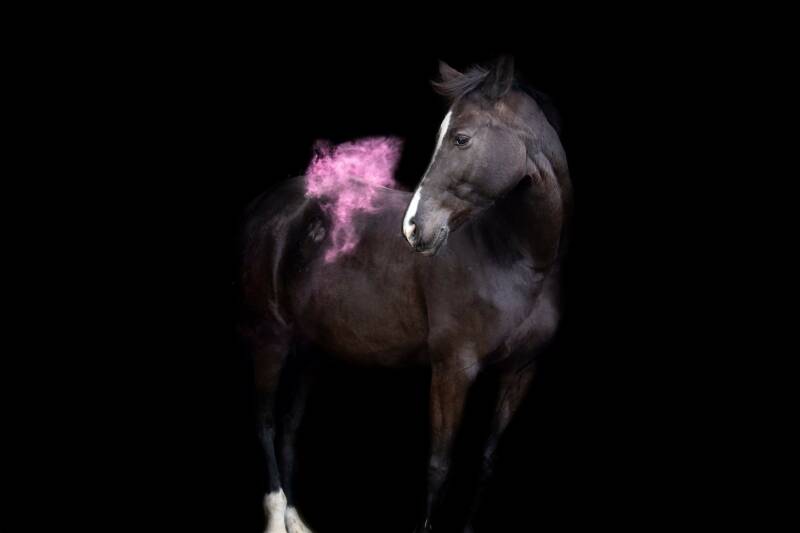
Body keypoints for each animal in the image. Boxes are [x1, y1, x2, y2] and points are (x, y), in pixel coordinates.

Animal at [239, 56, 572, 533]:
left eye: (461, 138)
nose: (415, 228)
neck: (521, 260)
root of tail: (266, 205)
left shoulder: (521, 371)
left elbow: (488, 461)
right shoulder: (453, 369)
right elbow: (439, 466)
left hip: (309, 348)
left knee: (287, 427)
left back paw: (297, 521)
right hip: (270, 337)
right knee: (265, 422)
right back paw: (274, 518)